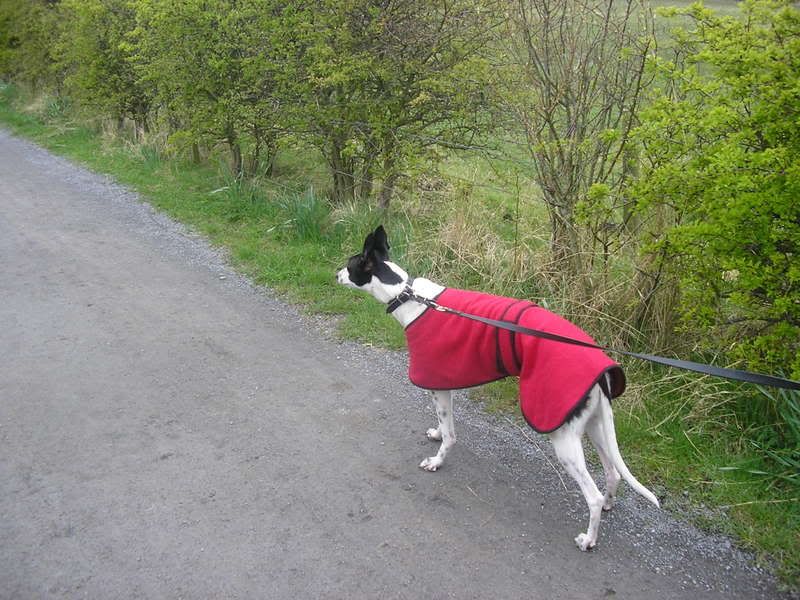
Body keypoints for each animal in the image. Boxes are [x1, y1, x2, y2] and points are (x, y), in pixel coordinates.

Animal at [334, 226, 660, 552]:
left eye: (350, 265)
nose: (335, 274)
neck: (409, 296)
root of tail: (602, 371)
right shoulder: (442, 383)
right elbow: (444, 425)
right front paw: (437, 433)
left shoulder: (438, 385)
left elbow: (451, 435)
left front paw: (437, 460)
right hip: (593, 425)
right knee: (613, 474)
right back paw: (608, 503)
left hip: (564, 439)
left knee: (592, 495)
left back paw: (589, 539)